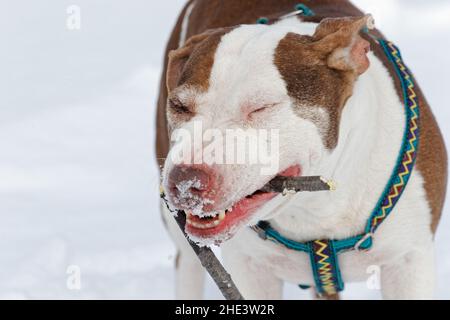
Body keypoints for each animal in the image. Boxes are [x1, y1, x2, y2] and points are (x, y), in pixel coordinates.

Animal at [156, 0, 446, 300]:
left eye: (262, 107)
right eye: (179, 105)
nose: (185, 180)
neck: (315, 204)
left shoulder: (408, 264)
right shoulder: (251, 268)